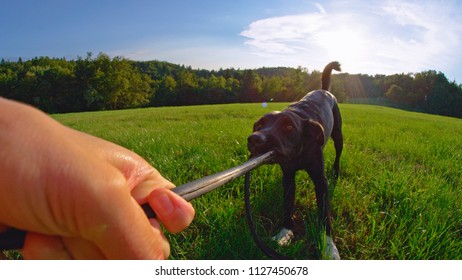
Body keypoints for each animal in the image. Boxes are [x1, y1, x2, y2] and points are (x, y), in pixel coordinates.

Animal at [249, 61, 342, 260]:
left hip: (338, 135)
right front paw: (285, 233)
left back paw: (336, 171)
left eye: (289, 127)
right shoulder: (288, 176)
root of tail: (324, 90)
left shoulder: (320, 180)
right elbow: (287, 205)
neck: (299, 151)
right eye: (259, 125)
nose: (254, 139)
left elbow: (325, 214)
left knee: (338, 154)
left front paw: (329, 246)